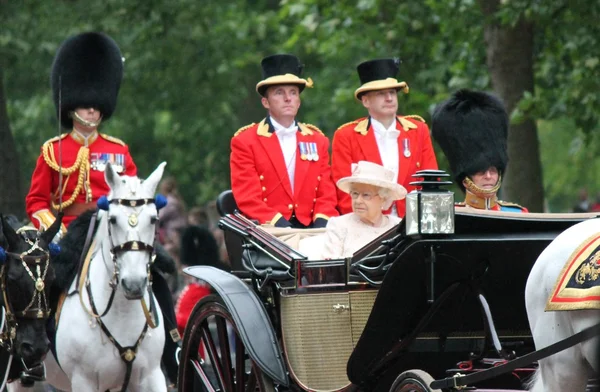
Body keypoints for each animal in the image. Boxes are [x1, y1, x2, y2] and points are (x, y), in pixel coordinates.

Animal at [9, 161, 168, 390]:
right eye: (113, 220)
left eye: (154, 219)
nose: (134, 284)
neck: (122, 312)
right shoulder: (84, 381)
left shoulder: (151, 377)